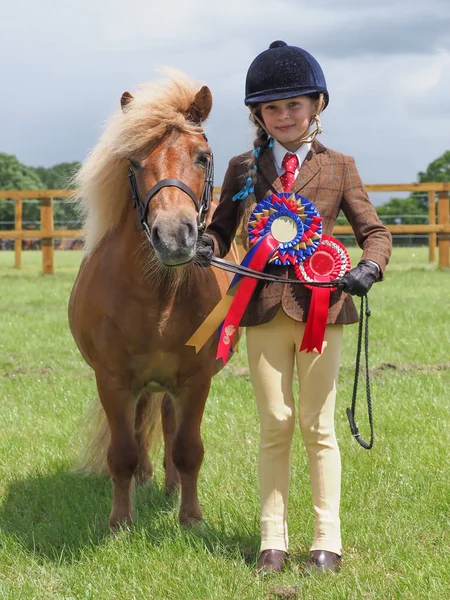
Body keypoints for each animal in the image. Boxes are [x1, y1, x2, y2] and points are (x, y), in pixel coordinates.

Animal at [68, 71, 239, 528]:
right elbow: (122, 453)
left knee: (167, 423)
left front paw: (191, 517)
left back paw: (171, 485)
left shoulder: (196, 380)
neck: (157, 297)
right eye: (134, 162)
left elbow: (188, 449)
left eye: (202, 157)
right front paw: (120, 522)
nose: (174, 236)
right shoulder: (112, 381)